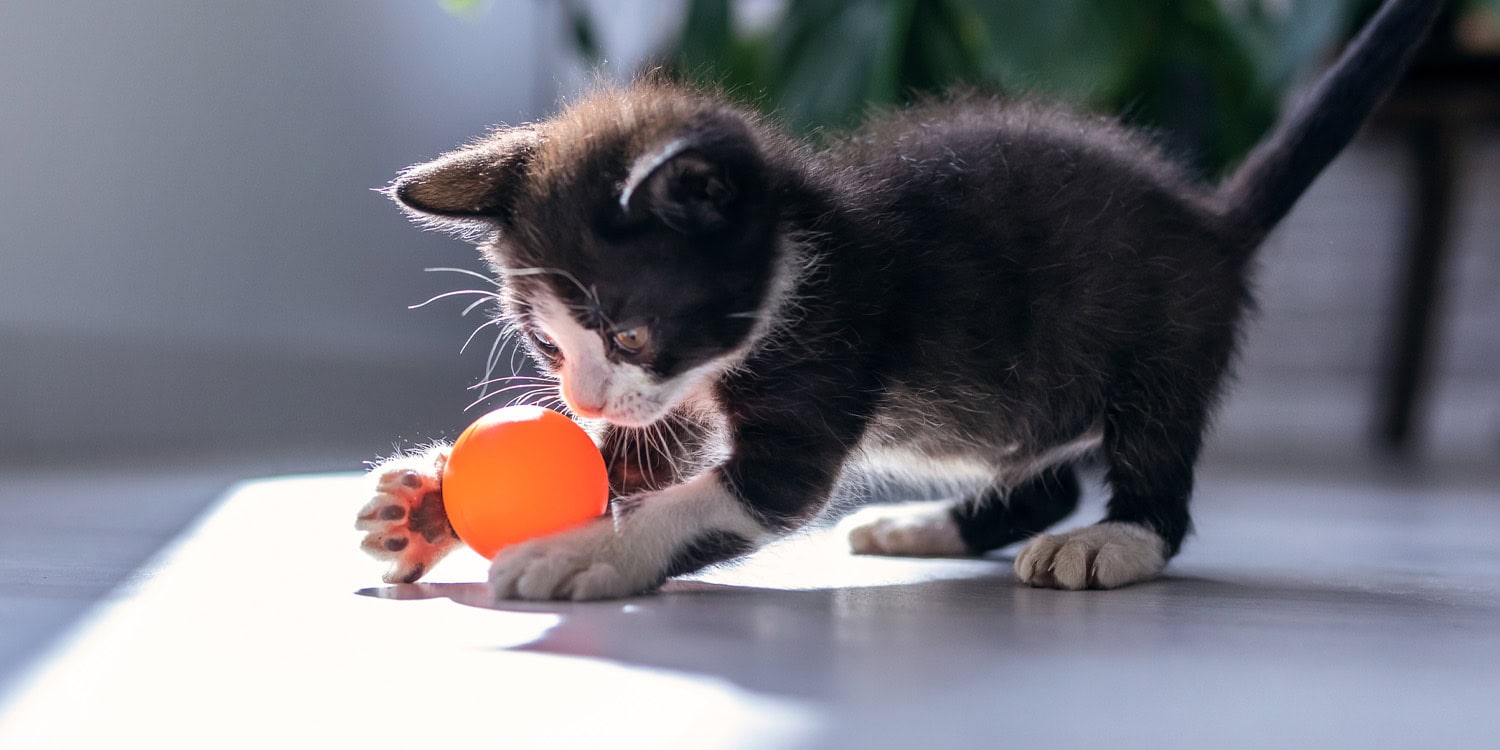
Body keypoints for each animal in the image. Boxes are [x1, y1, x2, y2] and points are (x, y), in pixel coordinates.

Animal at [354, 0, 1440, 597]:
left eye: (628, 330)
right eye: (548, 347)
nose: (577, 397)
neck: (798, 261)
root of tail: (1211, 219)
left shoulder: (832, 349)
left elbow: (727, 492)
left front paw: (589, 551)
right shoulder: (673, 398)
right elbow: (640, 455)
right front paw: (429, 507)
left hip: (1165, 335)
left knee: (1154, 461)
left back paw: (1117, 538)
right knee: (1041, 474)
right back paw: (929, 526)